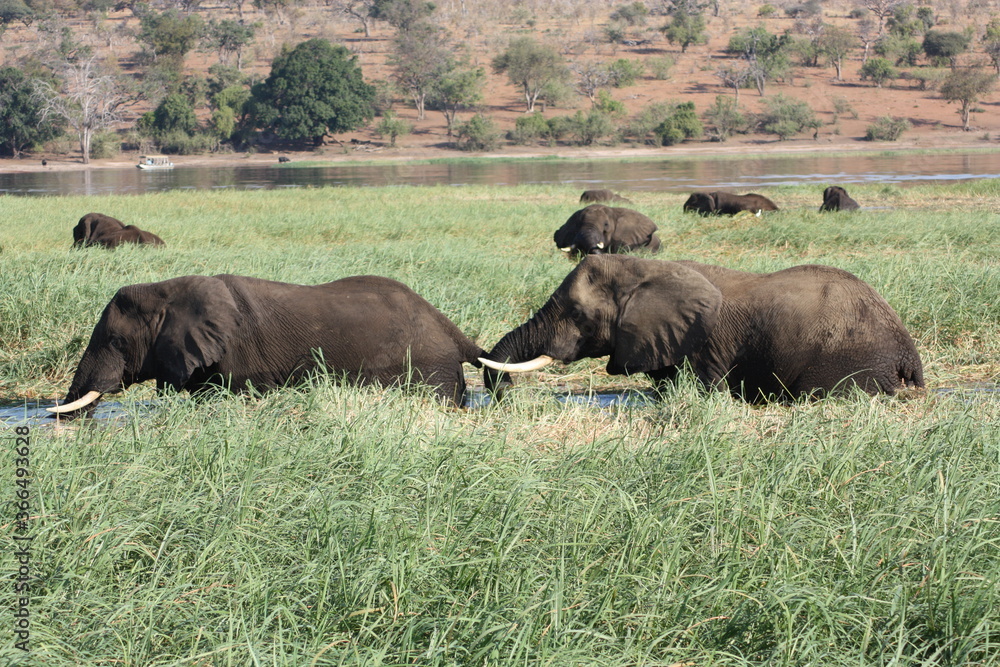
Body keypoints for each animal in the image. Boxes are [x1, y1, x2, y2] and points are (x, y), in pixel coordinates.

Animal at [480, 254, 924, 402]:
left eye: (576, 313)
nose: (505, 397)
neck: (646, 268)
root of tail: (908, 350)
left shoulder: (704, 345)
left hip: (848, 359)